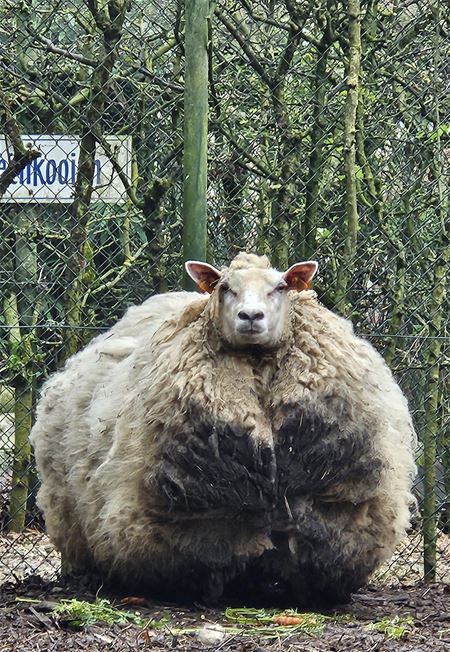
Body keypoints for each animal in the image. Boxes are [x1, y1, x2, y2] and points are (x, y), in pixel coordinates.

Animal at [29, 253, 414, 608]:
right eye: (226, 287)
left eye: (280, 287)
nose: (251, 316)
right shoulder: (205, 516)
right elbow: (210, 559)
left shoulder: (327, 510)